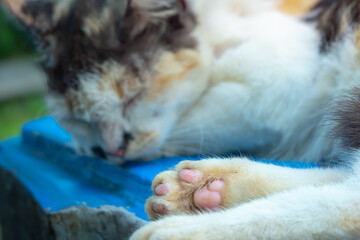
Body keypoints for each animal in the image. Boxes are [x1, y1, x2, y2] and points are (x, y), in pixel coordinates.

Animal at [3, 0, 360, 238]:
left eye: (133, 98)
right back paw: (208, 186)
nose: (112, 151)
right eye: (79, 119)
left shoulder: (281, 82)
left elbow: (200, 122)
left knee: (341, 203)